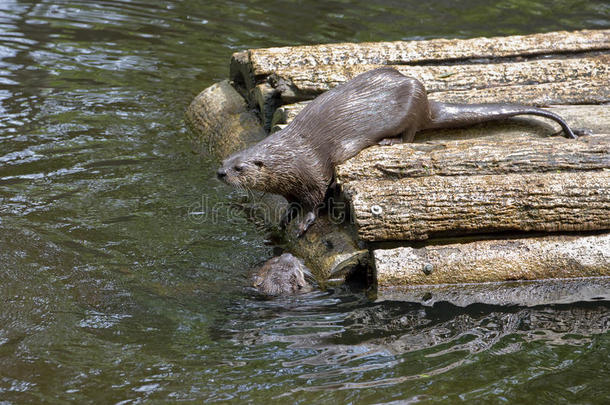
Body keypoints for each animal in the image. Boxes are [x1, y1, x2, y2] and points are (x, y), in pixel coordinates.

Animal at [216, 67, 576, 237]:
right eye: (225, 160)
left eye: (239, 168)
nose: (220, 173)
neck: (289, 157)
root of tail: (428, 102)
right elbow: (292, 203)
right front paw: (286, 216)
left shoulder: (314, 171)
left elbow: (316, 202)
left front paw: (303, 222)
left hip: (411, 107)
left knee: (412, 133)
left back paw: (390, 142)